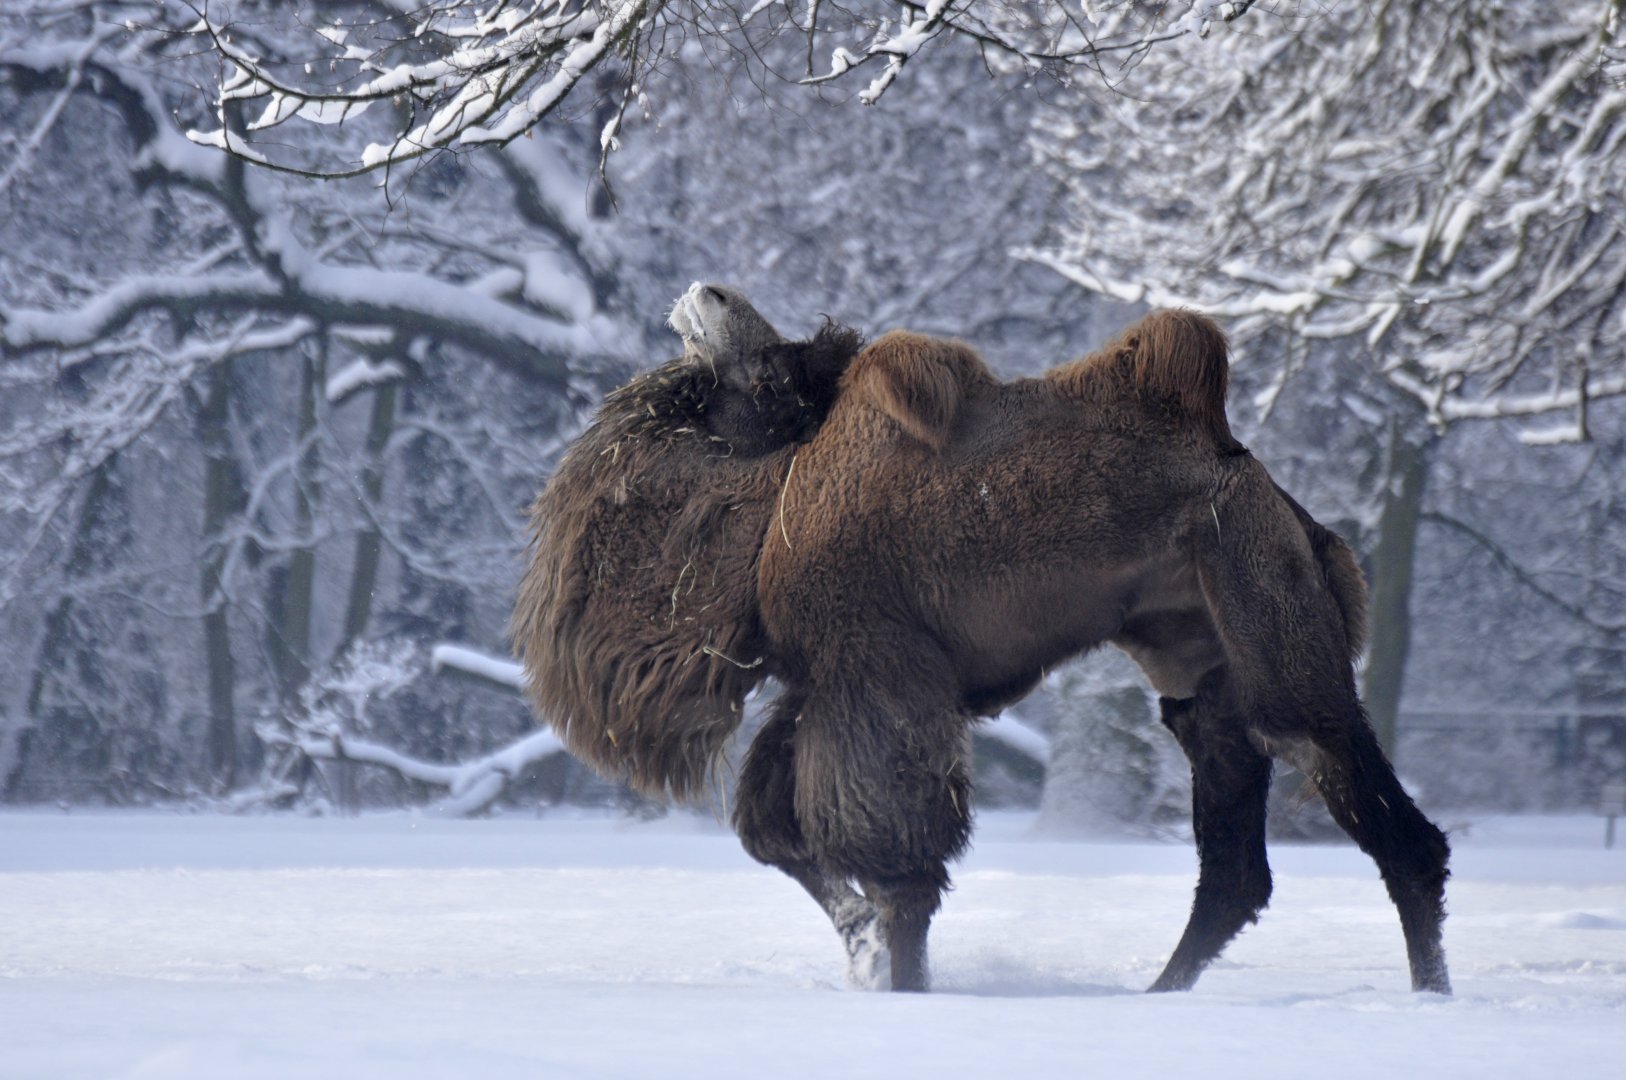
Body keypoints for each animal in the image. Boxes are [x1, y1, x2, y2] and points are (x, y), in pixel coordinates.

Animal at [513, 283, 1451, 996]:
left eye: (769, 364)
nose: (706, 294)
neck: (775, 497)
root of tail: (1296, 515)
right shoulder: (818, 687)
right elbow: (775, 832)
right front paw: (863, 954)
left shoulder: (874, 668)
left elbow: (896, 858)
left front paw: (902, 983)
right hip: (1200, 680)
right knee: (1235, 869)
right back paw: (1161, 992)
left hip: (1271, 631)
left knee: (1379, 816)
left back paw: (1426, 998)